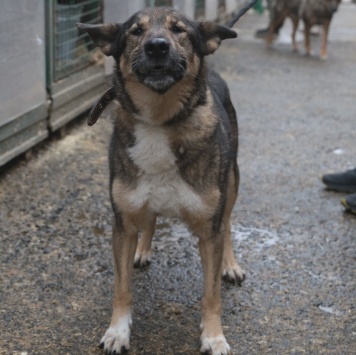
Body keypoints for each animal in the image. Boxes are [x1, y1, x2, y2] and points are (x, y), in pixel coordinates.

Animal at [77, 5, 248, 355]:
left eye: (179, 29)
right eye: (135, 31)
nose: (157, 46)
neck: (159, 121)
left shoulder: (209, 230)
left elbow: (211, 293)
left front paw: (214, 336)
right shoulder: (123, 224)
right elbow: (122, 288)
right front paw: (117, 332)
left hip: (232, 181)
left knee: (228, 222)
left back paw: (230, 264)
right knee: (152, 217)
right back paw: (143, 250)